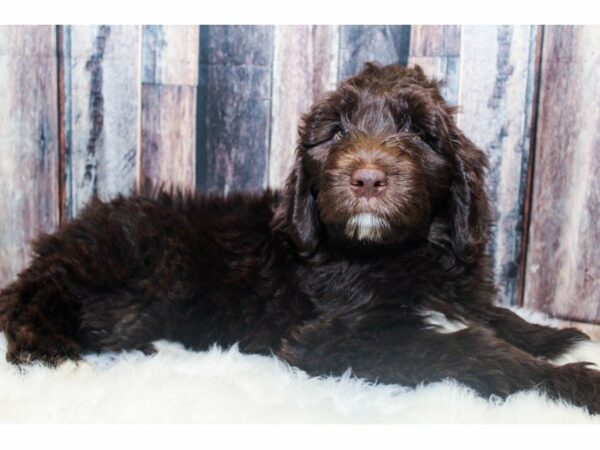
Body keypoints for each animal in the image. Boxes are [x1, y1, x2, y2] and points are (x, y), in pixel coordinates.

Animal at [1, 63, 600, 414]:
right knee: (31, 301)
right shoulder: (336, 337)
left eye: (418, 132)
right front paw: (572, 383)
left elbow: (492, 315)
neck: (396, 253)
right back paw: (56, 355)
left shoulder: (457, 286)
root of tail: (66, 235)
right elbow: (468, 346)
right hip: (120, 257)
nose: (366, 179)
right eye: (334, 133)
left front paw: (560, 338)